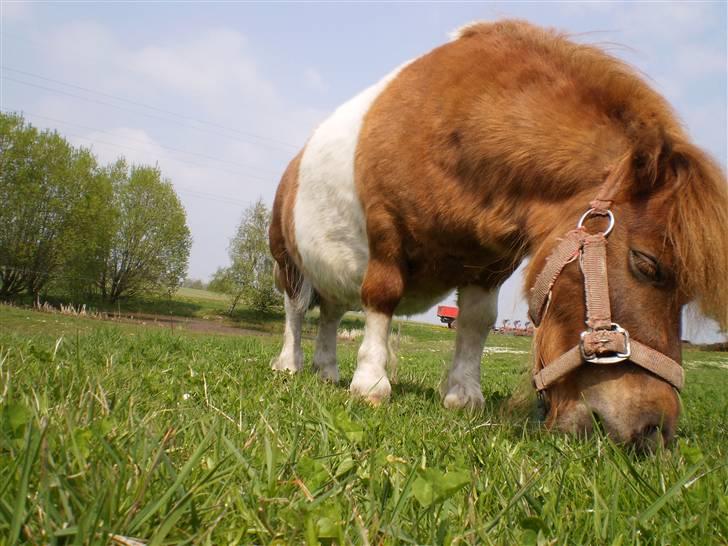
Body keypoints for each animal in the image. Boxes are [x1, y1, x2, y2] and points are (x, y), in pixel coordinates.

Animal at [268, 19, 728, 448]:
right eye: (646, 263)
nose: (654, 431)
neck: (447, 126)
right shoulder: (386, 236)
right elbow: (382, 299)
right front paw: (370, 384)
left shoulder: (490, 265)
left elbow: (477, 321)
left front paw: (463, 396)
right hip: (286, 262)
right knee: (295, 310)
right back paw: (290, 365)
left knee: (330, 313)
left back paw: (327, 371)